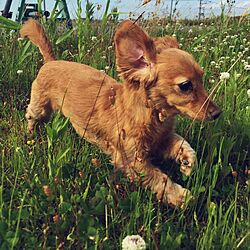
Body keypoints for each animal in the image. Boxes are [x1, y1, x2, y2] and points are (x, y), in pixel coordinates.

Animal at [21, 19, 221, 207]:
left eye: (202, 79)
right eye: (185, 85)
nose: (218, 113)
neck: (153, 117)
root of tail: (51, 61)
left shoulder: (162, 140)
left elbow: (183, 144)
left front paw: (187, 162)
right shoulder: (132, 160)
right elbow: (160, 179)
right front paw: (181, 196)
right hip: (40, 108)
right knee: (31, 117)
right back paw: (30, 135)